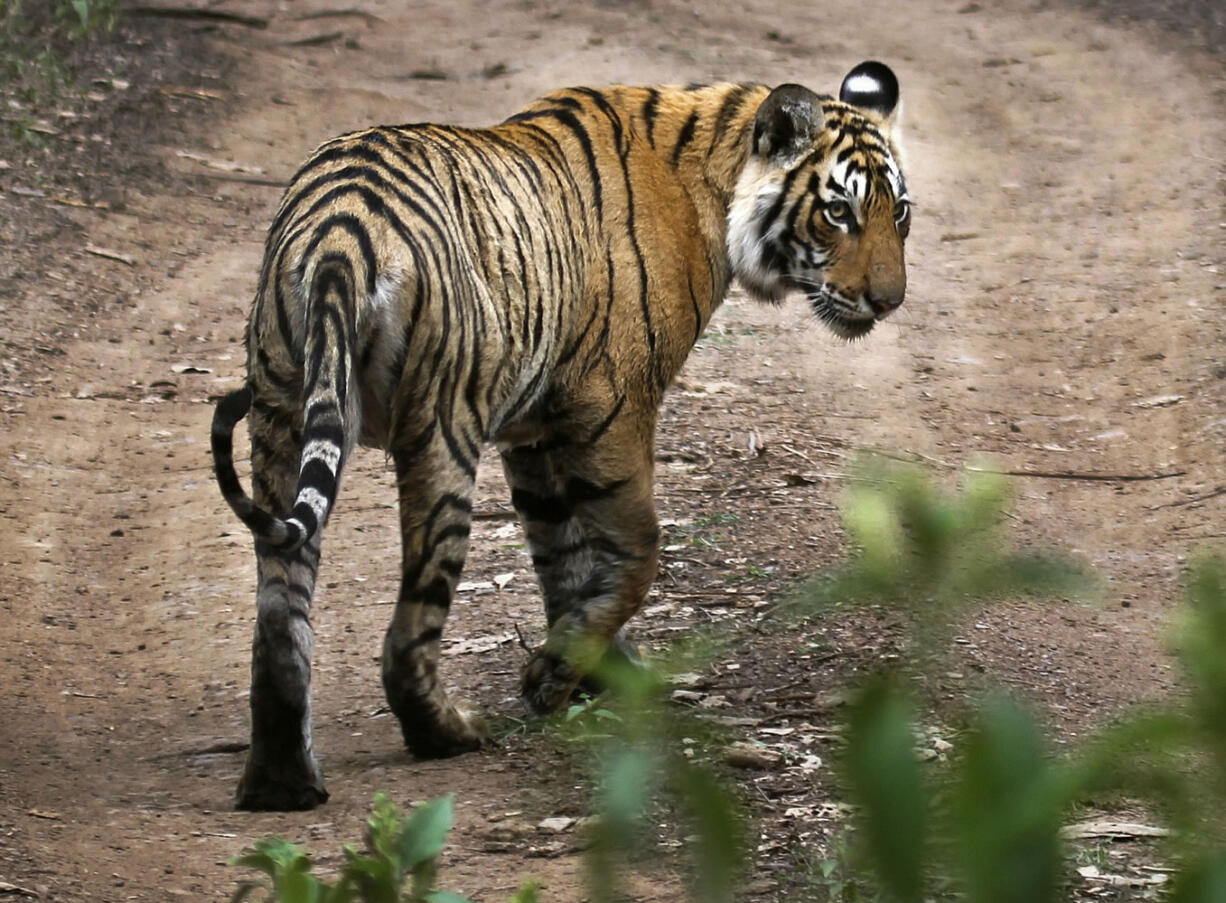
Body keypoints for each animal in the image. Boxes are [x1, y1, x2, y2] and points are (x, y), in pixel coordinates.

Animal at [210, 63, 907, 808]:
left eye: (898, 212)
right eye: (839, 212)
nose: (888, 300)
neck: (716, 174)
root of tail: (339, 233)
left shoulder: (534, 428)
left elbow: (563, 556)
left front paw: (588, 670)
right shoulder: (613, 406)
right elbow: (634, 552)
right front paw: (557, 678)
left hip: (280, 414)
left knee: (279, 612)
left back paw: (281, 782)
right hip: (441, 431)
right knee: (409, 627)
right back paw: (447, 733)